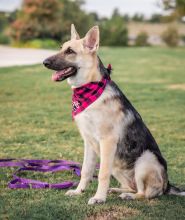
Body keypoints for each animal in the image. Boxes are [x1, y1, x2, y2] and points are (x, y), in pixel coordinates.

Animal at [43, 24, 185, 205]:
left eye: (70, 51)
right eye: (61, 48)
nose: (44, 62)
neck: (90, 89)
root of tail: (167, 186)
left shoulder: (107, 142)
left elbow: (102, 174)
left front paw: (99, 198)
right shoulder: (89, 142)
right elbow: (86, 170)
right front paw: (78, 191)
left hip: (145, 159)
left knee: (145, 193)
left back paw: (129, 196)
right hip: (117, 166)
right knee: (132, 187)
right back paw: (117, 190)